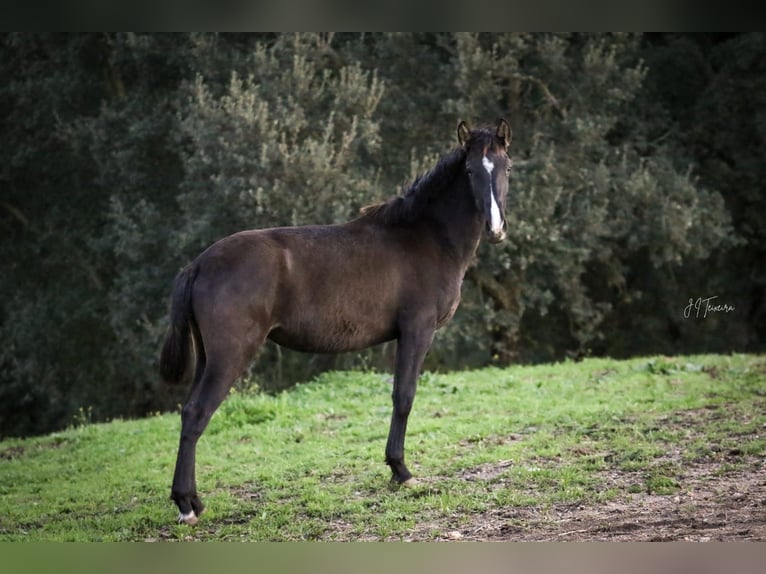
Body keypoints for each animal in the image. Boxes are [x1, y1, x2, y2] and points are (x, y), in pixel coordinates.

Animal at [159, 117, 512, 528]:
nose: (495, 229)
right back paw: (186, 505)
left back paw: (194, 501)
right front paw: (401, 471)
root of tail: (199, 264)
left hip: (208, 358)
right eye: (470, 170)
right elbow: (403, 396)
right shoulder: (417, 331)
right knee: (197, 414)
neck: (426, 236)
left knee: (188, 412)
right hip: (229, 356)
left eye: (506, 167)